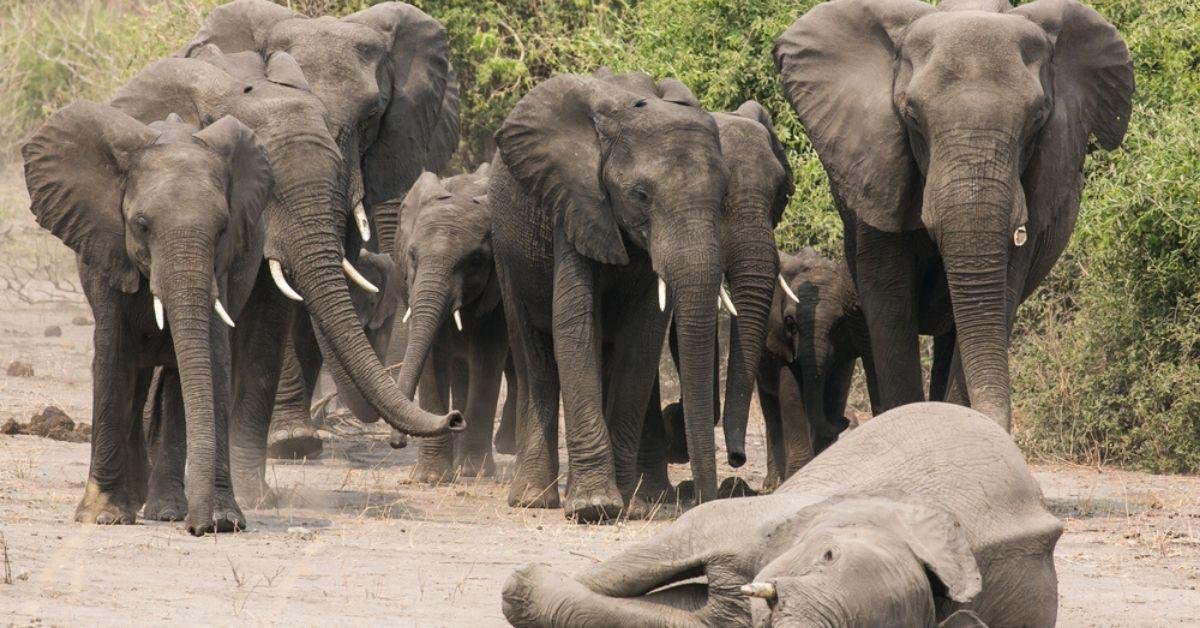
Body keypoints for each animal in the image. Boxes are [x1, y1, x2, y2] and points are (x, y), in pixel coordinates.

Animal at [23, 102, 272, 534]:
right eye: (140, 224)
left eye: (223, 228)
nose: (198, 528)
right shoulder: (105, 246)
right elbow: (112, 354)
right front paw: (103, 516)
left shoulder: (222, 268)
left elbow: (212, 360)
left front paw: (223, 519)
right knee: (136, 375)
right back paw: (138, 501)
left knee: (172, 378)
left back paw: (164, 509)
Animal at [386, 164, 510, 482]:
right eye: (412, 255)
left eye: (476, 261)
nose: (396, 442)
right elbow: (432, 356)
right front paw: (431, 478)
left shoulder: (498, 293)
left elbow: (488, 357)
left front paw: (475, 473)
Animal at [490, 70, 784, 521]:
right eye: (640, 196)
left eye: (721, 198)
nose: (735, 462)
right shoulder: (575, 203)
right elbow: (575, 325)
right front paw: (594, 507)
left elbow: (642, 341)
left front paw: (631, 504)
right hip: (506, 246)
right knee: (534, 356)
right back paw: (534, 500)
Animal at [774, 0, 1134, 429]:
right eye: (912, 116)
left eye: (1036, 120)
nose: (846, 422)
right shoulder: (878, 171)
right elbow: (890, 304)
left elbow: (998, 298)